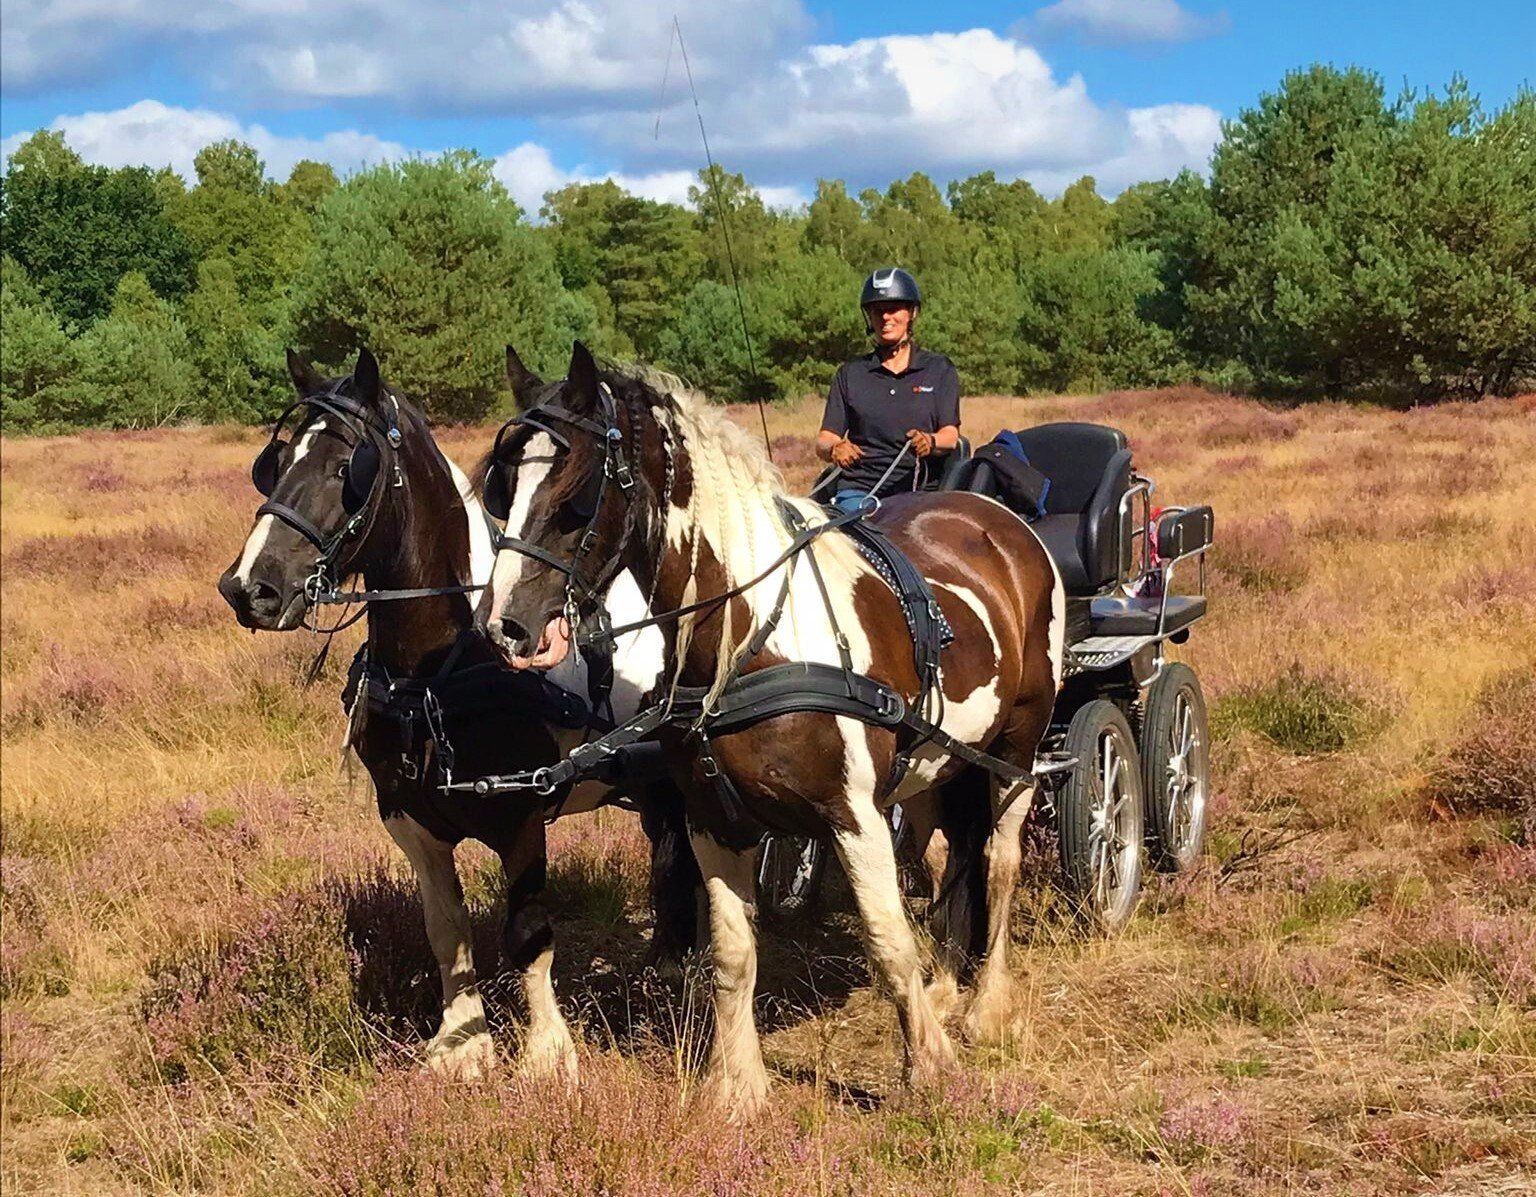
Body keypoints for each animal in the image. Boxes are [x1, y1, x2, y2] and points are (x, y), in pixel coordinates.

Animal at [217, 346, 700, 1080]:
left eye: (347, 468)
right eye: (276, 462)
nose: (249, 588)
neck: (440, 674)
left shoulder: (522, 817)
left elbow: (528, 935)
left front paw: (547, 1055)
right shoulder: (409, 818)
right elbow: (446, 932)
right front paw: (462, 1044)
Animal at [476, 342, 1065, 1113]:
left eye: (577, 491)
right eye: (501, 488)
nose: (506, 625)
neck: (751, 636)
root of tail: (1001, 520)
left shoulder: (853, 815)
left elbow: (887, 939)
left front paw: (928, 1066)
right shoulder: (711, 819)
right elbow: (732, 953)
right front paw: (738, 1086)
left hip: (1017, 749)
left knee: (998, 861)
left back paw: (986, 1006)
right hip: (936, 766)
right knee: (955, 856)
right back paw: (945, 984)